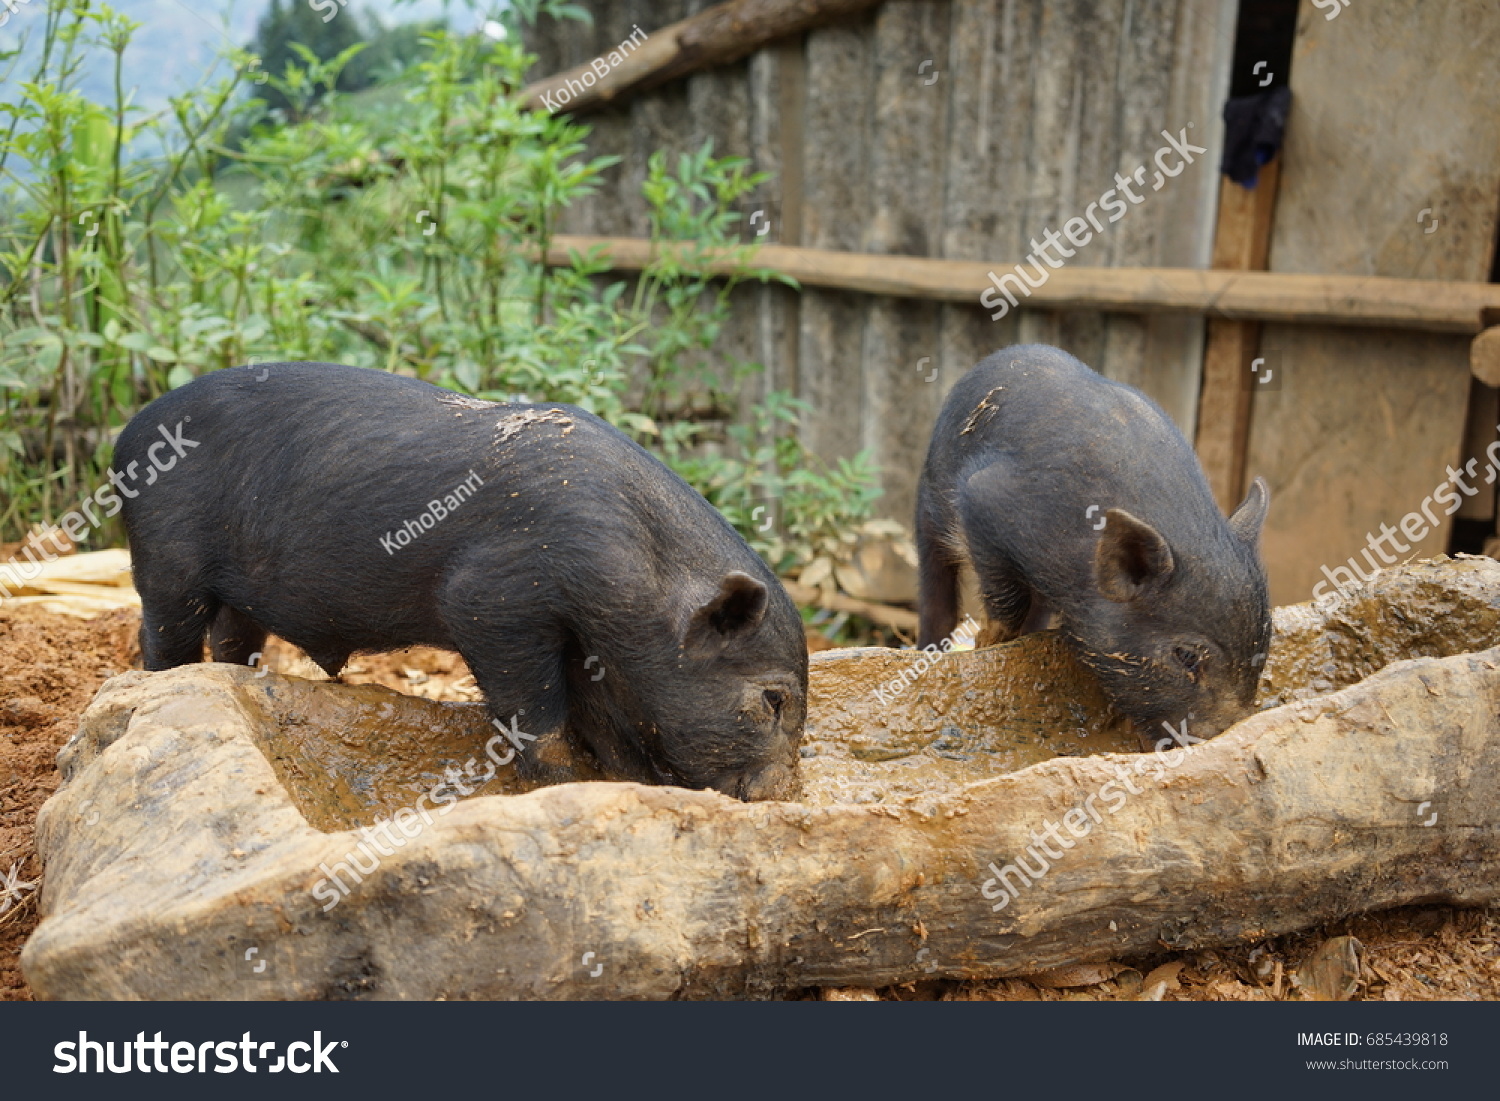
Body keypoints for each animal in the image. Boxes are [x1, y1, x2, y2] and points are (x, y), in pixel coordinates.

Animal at [114, 363, 810, 804]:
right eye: (774, 700)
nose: (781, 796)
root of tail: (127, 436)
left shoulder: (584, 641)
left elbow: (605, 719)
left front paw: (628, 782)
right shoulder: (494, 601)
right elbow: (537, 711)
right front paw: (565, 784)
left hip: (238, 596)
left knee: (234, 640)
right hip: (166, 561)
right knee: (164, 637)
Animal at [906, 345, 1272, 741]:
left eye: (1263, 647)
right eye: (1186, 656)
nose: (1224, 731)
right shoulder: (986, 502)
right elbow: (1003, 594)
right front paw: (989, 642)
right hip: (929, 505)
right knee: (936, 588)